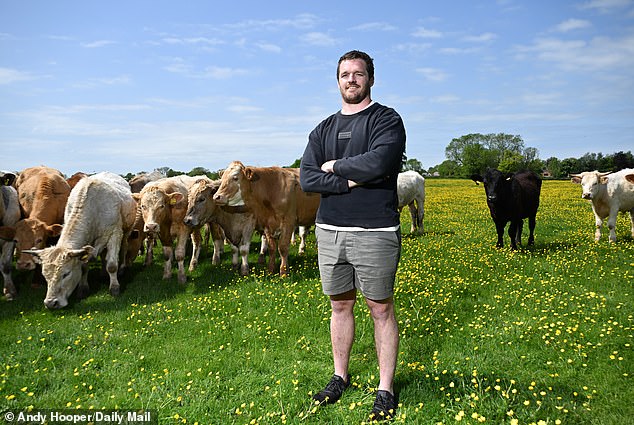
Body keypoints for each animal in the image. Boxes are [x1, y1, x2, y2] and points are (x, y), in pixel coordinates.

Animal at [25, 172, 137, 308]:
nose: (51, 303)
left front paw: (114, 287)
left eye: (66, 274)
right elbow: (83, 267)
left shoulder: (114, 233)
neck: (94, 206)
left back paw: (122, 268)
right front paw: (83, 288)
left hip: (126, 231)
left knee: (124, 248)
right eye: (45, 275)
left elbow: (111, 265)